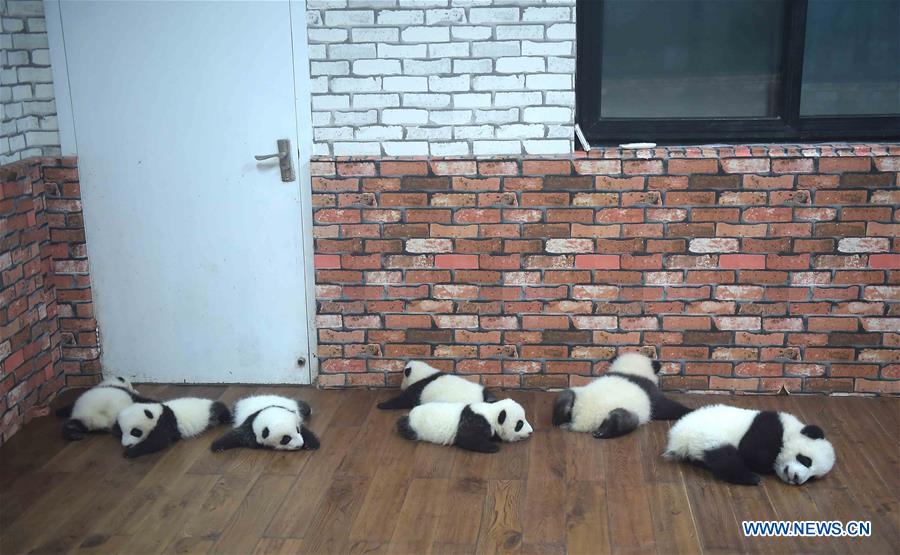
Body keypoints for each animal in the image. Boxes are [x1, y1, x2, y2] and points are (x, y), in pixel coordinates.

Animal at [396, 398, 533, 453]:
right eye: (520, 424)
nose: (531, 431)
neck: (491, 412)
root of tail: (410, 414)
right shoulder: (474, 421)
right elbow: (467, 439)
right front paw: (493, 447)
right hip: (415, 426)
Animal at [552, 352, 692, 439]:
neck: (630, 370)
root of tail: (581, 421)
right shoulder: (650, 392)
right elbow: (665, 407)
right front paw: (689, 410)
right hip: (631, 412)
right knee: (624, 419)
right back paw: (603, 431)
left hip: (577, 395)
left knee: (566, 396)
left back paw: (561, 417)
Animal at [664, 404, 836, 486]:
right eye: (806, 460)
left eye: (813, 477)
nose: (796, 479)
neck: (790, 431)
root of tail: (678, 437)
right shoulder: (768, 428)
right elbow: (753, 453)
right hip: (706, 436)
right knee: (726, 459)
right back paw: (751, 478)